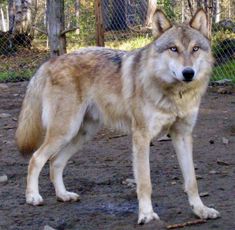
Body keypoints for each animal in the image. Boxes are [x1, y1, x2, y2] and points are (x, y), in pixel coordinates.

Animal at [16, 9, 220, 225]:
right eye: (174, 49)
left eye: (195, 48)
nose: (188, 73)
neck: (175, 94)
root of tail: (49, 62)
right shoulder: (141, 137)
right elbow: (145, 182)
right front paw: (146, 214)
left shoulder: (182, 136)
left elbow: (192, 181)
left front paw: (201, 210)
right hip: (65, 131)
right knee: (36, 158)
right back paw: (33, 197)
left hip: (81, 135)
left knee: (55, 162)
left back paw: (63, 195)